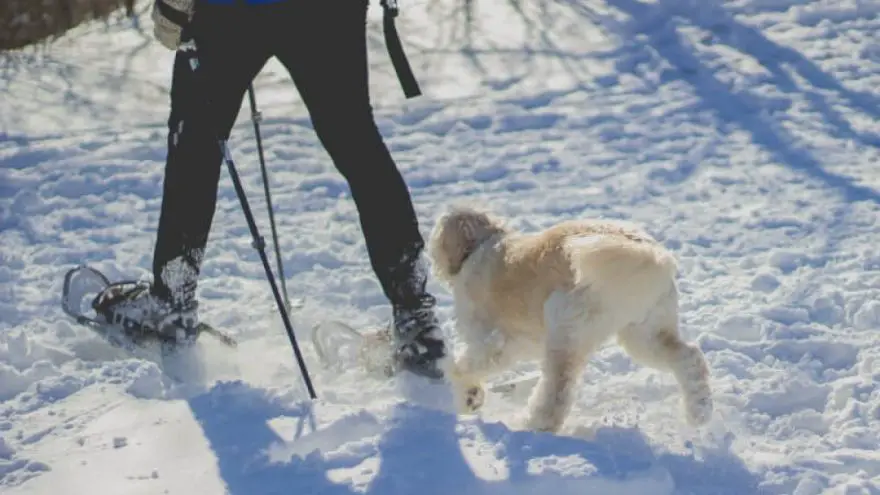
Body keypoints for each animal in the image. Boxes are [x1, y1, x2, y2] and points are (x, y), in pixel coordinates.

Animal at [430, 205, 712, 434]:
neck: (481, 245)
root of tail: (647, 254)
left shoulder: (493, 339)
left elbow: (468, 365)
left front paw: (465, 391)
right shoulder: (517, 343)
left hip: (566, 329)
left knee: (557, 393)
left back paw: (534, 425)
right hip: (645, 334)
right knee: (689, 358)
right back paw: (699, 412)